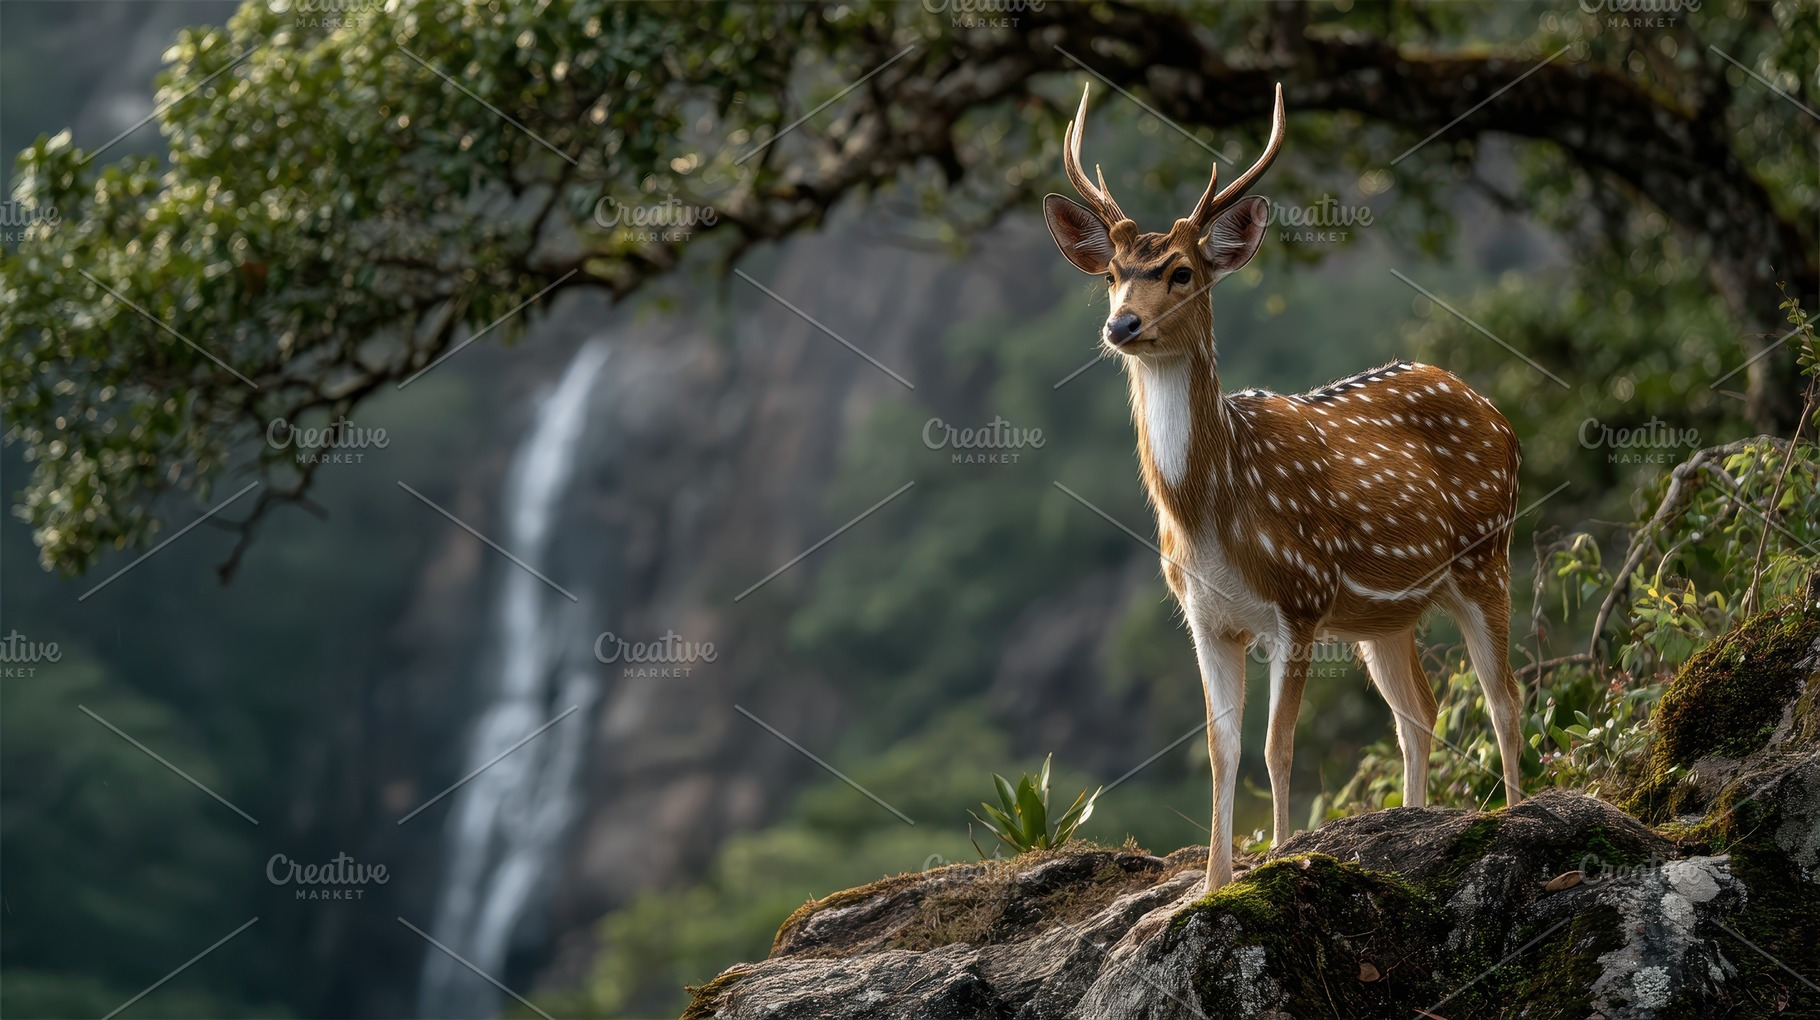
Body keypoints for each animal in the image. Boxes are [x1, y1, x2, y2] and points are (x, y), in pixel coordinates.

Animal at [1043, 83, 1525, 891]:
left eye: (1181, 271)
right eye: (1110, 274)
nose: (1123, 325)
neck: (1211, 516)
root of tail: (1494, 410)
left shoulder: (1299, 600)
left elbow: (1277, 744)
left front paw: (1281, 855)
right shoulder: (1205, 617)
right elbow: (1222, 750)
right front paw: (1211, 884)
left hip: (1488, 554)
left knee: (1503, 696)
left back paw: (1519, 814)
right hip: (1385, 617)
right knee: (1419, 711)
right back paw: (1415, 819)